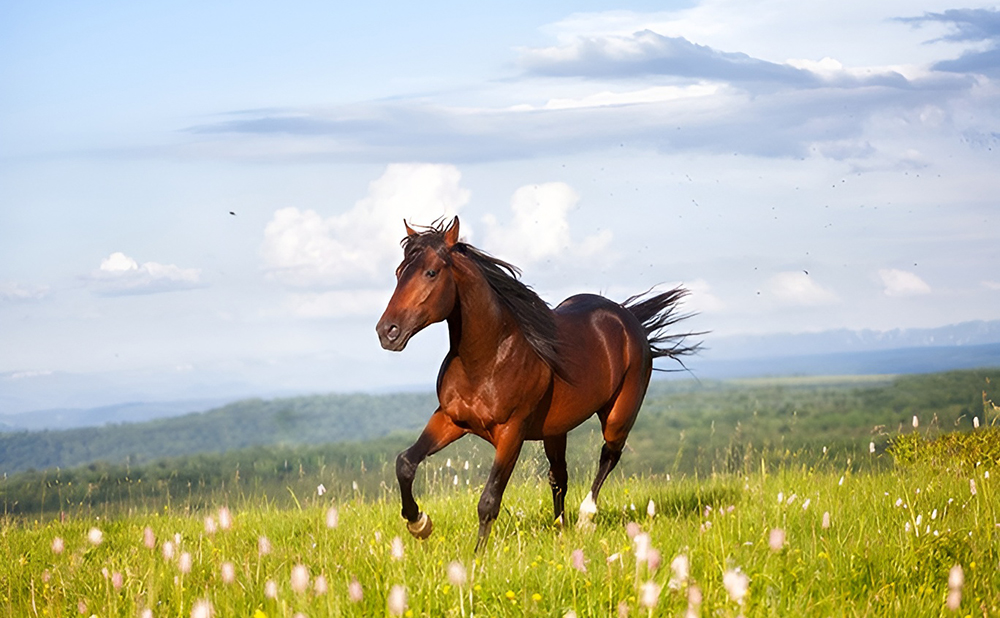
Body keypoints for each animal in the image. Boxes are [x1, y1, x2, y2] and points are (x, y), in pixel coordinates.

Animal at [376, 217, 698, 551]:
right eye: (399, 272)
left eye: (431, 272)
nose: (387, 332)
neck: (488, 358)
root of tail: (628, 318)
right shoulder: (450, 420)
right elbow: (405, 463)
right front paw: (419, 523)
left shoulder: (511, 433)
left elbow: (489, 500)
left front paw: (476, 557)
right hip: (556, 429)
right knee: (559, 476)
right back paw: (560, 528)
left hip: (618, 416)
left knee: (609, 455)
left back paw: (585, 519)